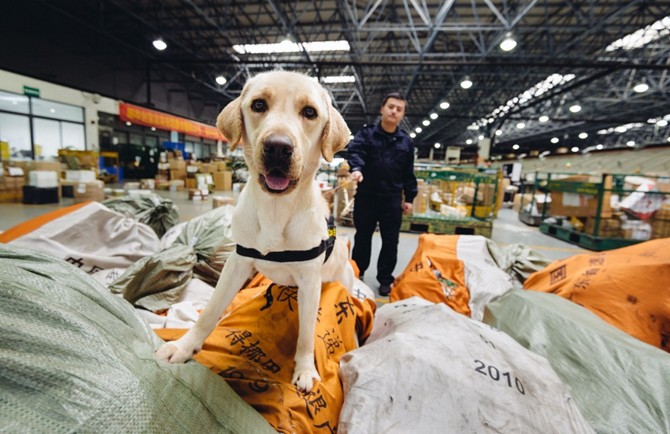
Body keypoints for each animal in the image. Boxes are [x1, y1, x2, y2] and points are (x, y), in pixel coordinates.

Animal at [156, 69, 356, 392]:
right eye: (259, 104)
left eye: (310, 112)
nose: (278, 147)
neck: (276, 208)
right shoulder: (237, 263)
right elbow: (210, 310)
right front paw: (185, 346)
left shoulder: (310, 280)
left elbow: (305, 335)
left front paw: (304, 370)